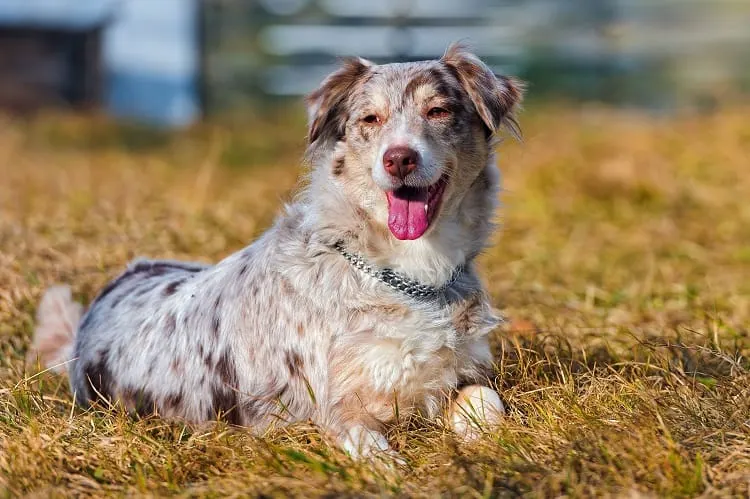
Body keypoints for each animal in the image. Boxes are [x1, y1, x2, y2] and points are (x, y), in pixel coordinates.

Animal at [29, 44, 524, 460]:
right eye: (370, 120)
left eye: (438, 111)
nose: (399, 158)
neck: (408, 273)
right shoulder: (336, 408)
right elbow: (375, 452)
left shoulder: (464, 371)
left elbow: (487, 401)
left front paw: (490, 440)